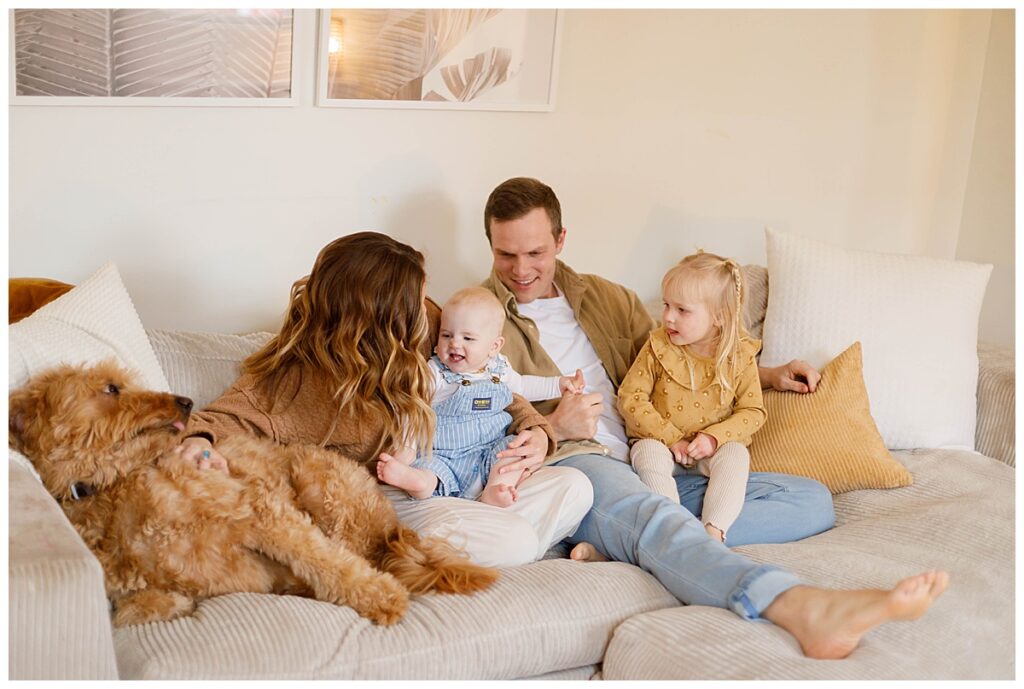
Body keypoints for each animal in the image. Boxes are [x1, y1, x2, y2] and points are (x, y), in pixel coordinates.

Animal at [9, 362, 497, 626]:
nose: (185, 402)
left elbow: (329, 561)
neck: (112, 487)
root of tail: (394, 529)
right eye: (110, 389)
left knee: (356, 552)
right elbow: (136, 608)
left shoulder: (259, 510)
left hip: (318, 476)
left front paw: (382, 598)